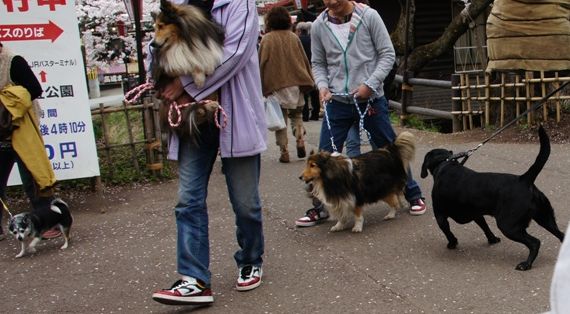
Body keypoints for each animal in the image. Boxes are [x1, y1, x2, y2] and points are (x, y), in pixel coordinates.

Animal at [420, 125, 560, 270]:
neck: (445, 164)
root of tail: (524, 179)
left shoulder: (440, 216)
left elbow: (448, 232)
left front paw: (452, 243)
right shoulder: (477, 214)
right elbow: (485, 227)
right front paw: (492, 239)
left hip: (508, 225)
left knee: (535, 242)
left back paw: (526, 264)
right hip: (546, 219)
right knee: (561, 235)